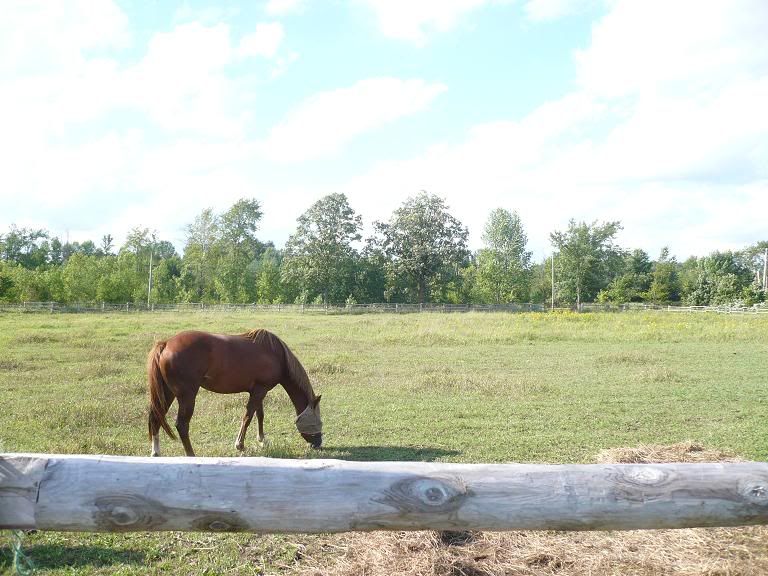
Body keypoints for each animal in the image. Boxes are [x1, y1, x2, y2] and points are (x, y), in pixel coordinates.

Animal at [146, 330, 320, 456]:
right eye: (317, 421)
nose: (318, 444)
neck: (276, 354)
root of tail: (165, 344)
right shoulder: (260, 390)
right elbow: (248, 417)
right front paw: (240, 445)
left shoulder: (258, 390)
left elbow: (259, 415)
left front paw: (262, 440)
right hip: (186, 396)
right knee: (181, 425)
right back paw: (191, 455)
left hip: (167, 393)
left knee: (155, 417)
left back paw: (155, 452)